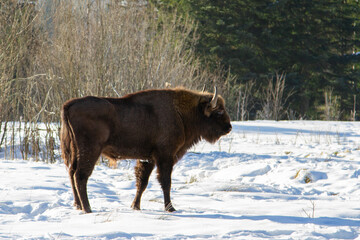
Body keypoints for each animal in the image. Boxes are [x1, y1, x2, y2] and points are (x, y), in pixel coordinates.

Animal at [60, 87, 232, 213]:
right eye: (218, 111)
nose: (229, 127)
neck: (180, 112)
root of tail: (69, 105)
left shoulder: (147, 158)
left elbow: (142, 182)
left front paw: (135, 206)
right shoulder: (165, 156)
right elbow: (165, 182)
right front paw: (170, 208)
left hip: (74, 152)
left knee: (71, 173)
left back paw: (77, 205)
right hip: (90, 150)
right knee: (80, 175)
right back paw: (87, 208)